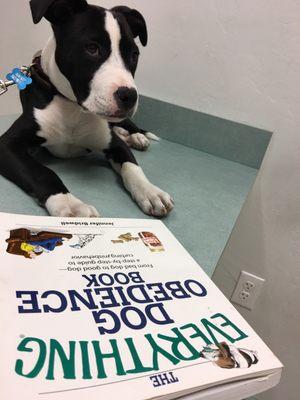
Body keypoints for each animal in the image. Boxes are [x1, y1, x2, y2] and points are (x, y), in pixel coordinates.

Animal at [0, 0, 173, 217]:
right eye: (92, 48)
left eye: (134, 55)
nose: (130, 96)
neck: (72, 107)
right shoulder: (7, 145)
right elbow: (43, 172)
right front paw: (69, 203)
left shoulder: (113, 143)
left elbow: (132, 166)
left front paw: (150, 191)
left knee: (129, 126)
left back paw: (136, 136)